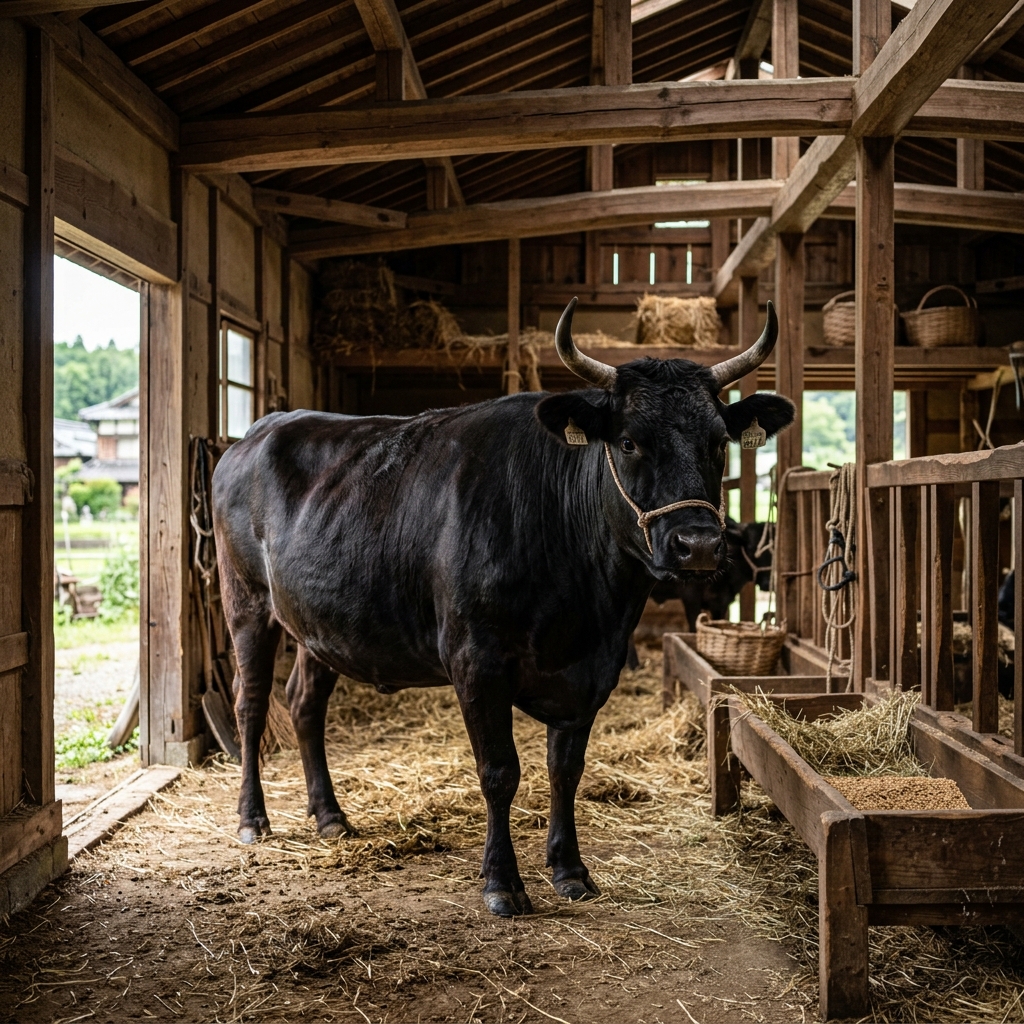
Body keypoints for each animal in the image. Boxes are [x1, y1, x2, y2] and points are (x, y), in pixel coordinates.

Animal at [211, 299, 794, 917]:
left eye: (718, 441)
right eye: (629, 441)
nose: (699, 545)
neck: (583, 606)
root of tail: (261, 429)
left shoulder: (593, 670)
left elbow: (565, 770)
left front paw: (569, 869)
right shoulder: (475, 659)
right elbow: (499, 771)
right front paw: (502, 881)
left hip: (320, 624)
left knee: (303, 703)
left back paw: (330, 816)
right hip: (246, 603)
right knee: (251, 702)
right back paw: (252, 818)